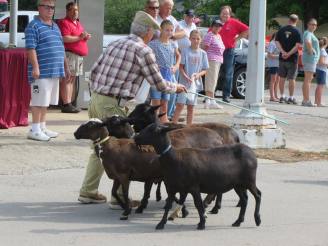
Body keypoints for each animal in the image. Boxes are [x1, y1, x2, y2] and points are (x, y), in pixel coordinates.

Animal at [133, 124, 262, 230]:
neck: (173, 158)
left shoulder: (194, 187)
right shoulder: (173, 187)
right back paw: (238, 221)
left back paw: (257, 219)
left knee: (258, 195)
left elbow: (198, 205)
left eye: (153, 130)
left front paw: (202, 223)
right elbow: (170, 204)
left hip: (250, 180)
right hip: (238, 184)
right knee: (245, 200)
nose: (135, 138)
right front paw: (161, 223)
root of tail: (251, 152)